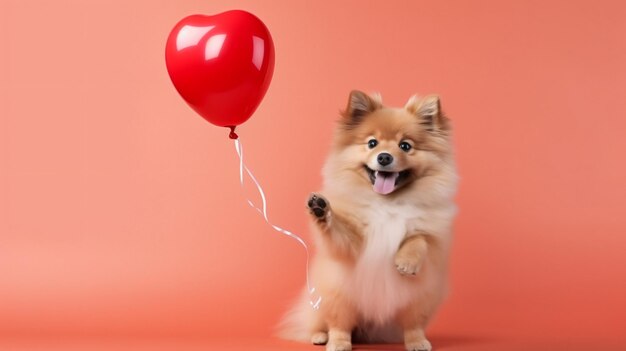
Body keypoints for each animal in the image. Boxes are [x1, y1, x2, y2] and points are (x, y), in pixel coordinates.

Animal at [278, 91, 458, 351]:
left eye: (405, 146)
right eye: (372, 143)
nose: (384, 157)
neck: (388, 203)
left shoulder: (433, 236)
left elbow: (419, 239)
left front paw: (407, 262)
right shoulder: (352, 245)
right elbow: (339, 231)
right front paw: (321, 209)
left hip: (418, 299)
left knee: (412, 324)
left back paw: (417, 342)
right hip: (336, 295)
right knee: (335, 324)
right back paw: (331, 340)